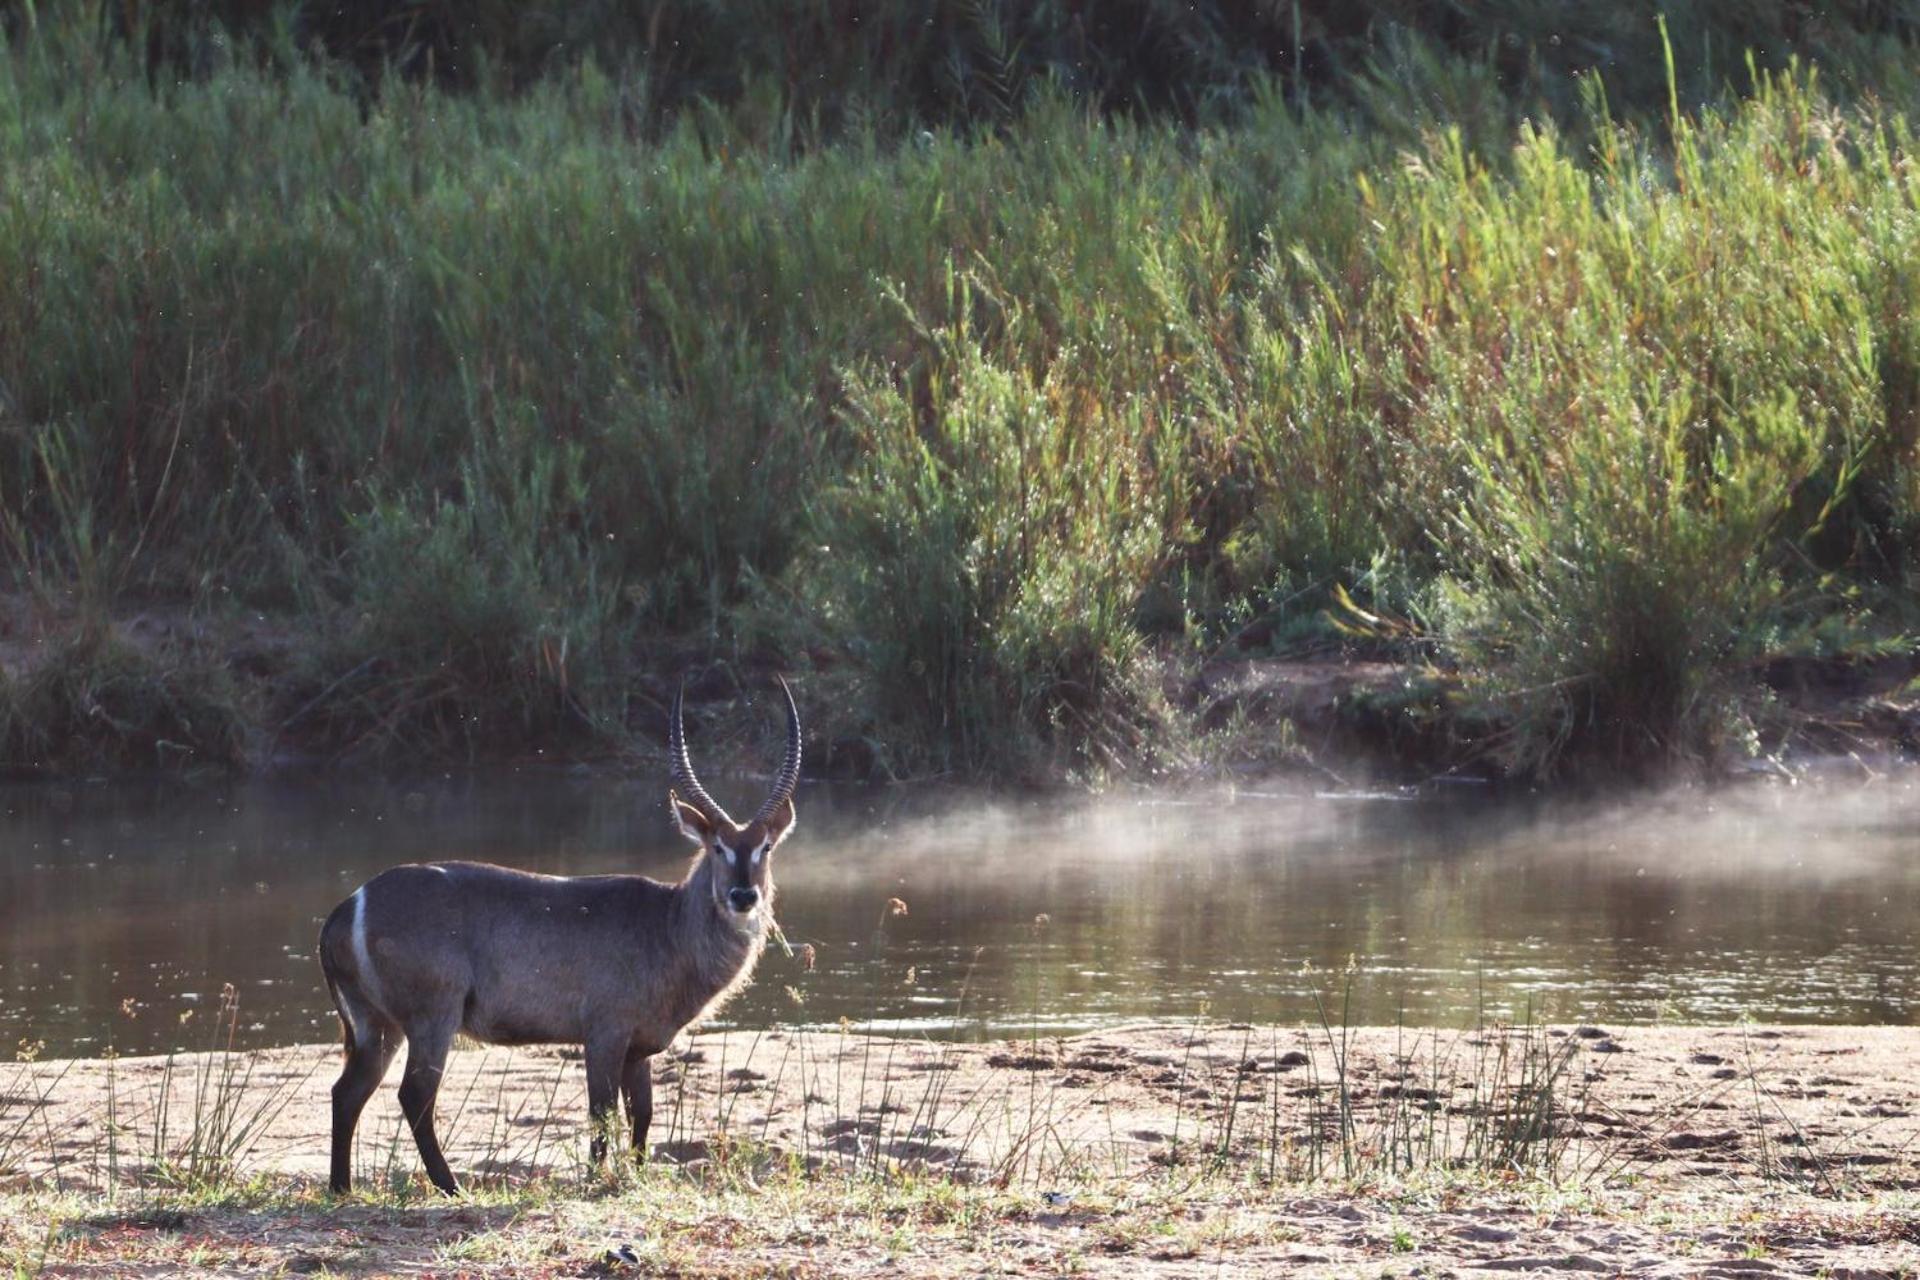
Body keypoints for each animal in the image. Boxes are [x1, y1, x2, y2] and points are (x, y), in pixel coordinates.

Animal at [318, 675, 798, 1197]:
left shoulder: (640, 1047)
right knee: (415, 1095)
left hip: (376, 1023)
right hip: (432, 1014)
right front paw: (595, 1179)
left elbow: (643, 1115)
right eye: (716, 846)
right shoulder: (604, 1033)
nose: (743, 895)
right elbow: (601, 1114)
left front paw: (636, 1176)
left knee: (347, 1092)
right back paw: (450, 1186)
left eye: (765, 847)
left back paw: (342, 1187)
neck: (669, 926)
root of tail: (348, 905)